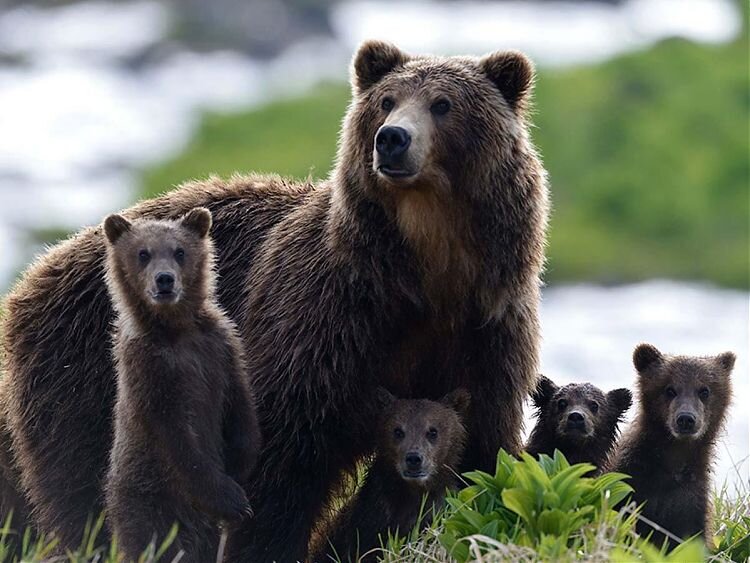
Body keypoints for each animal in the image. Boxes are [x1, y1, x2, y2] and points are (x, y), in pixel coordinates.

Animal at [1, 41, 552, 560]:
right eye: (387, 101)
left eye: (443, 103)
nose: (392, 138)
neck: (426, 274)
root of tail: (37, 273)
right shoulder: (326, 320)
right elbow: (282, 456)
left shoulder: (486, 332)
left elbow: (483, 449)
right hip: (86, 374)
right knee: (81, 485)